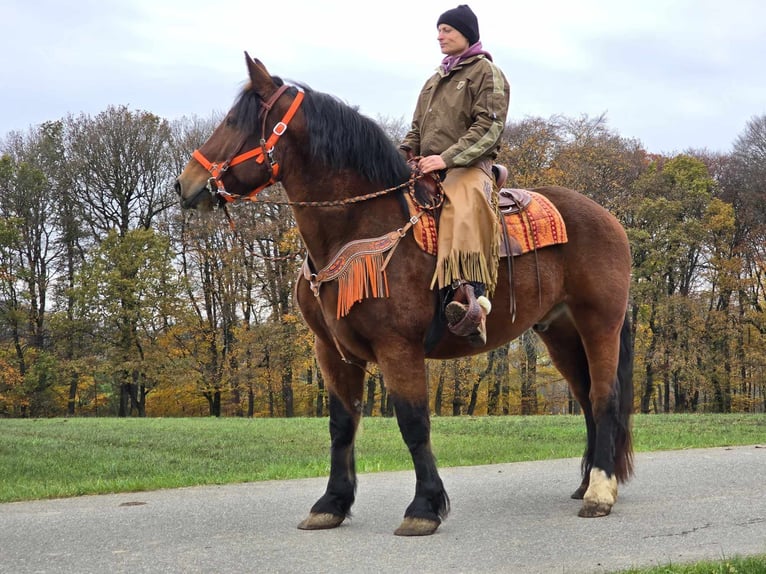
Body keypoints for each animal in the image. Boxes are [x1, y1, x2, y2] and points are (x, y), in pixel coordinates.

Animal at [176, 54, 636, 540]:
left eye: (234, 122)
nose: (184, 184)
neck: (358, 226)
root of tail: (608, 217)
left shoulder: (398, 347)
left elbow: (414, 423)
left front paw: (424, 507)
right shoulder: (331, 351)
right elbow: (342, 425)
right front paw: (331, 503)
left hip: (598, 324)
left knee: (604, 397)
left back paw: (600, 492)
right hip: (560, 332)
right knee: (585, 399)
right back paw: (588, 483)